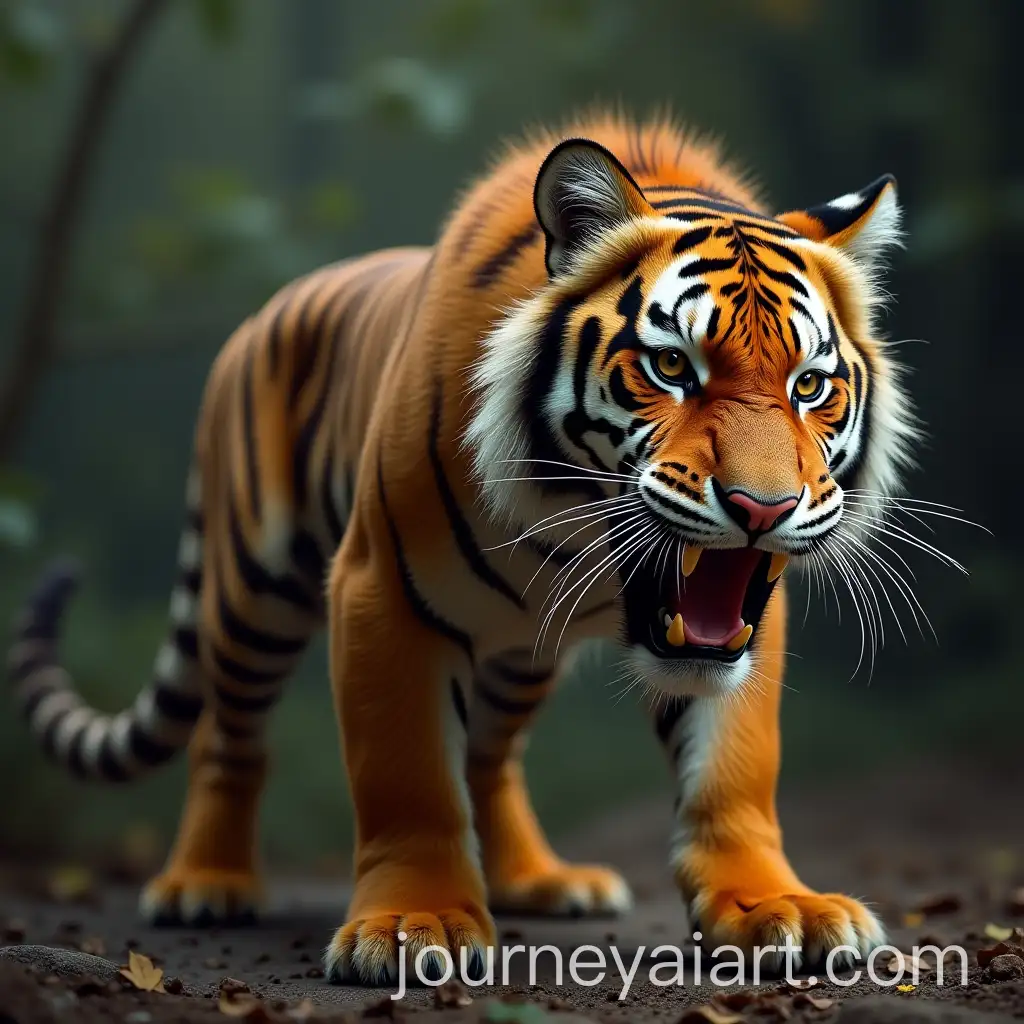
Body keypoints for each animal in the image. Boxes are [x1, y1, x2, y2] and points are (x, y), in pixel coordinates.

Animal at [7, 114, 917, 984]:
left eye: (810, 385)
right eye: (670, 367)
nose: (763, 509)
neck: (568, 529)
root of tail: (259, 319)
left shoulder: (743, 623)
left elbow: (732, 769)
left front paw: (775, 907)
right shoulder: (379, 591)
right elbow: (409, 777)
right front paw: (414, 923)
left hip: (521, 655)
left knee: (491, 754)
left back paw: (540, 880)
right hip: (250, 596)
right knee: (227, 738)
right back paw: (206, 884)